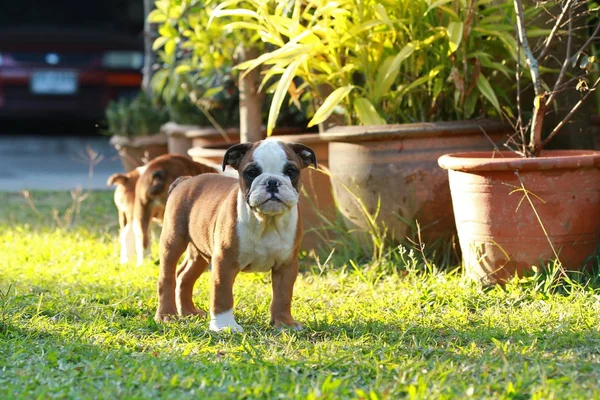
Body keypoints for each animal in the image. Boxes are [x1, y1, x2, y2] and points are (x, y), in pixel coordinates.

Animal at [154, 139, 318, 332]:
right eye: (252, 172)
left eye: (291, 171)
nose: (272, 182)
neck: (266, 221)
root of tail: (185, 181)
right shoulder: (224, 262)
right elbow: (222, 294)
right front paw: (225, 326)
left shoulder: (286, 265)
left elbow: (283, 295)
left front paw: (284, 323)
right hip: (173, 241)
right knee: (167, 277)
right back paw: (166, 314)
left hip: (199, 252)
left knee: (184, 276)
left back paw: (189, 312)